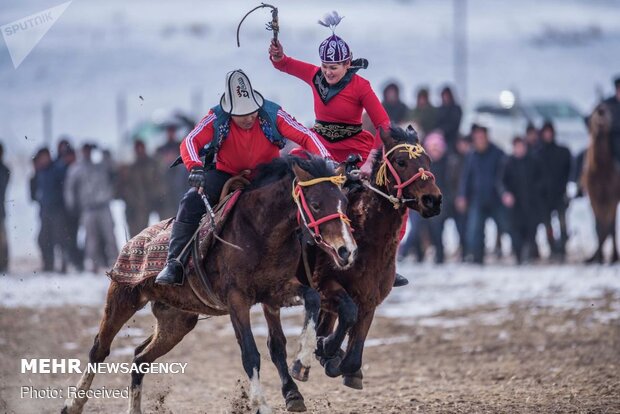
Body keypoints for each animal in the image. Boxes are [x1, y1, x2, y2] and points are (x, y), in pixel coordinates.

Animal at [62, 155, 356, 414]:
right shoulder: (237, 300)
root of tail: (132, 240)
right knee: (99, 349)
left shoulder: (275, 292)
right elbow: (251, 354)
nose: (346, 250)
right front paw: (261, 404)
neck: (258, 231)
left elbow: (310, 303)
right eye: (316, 204)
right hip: (123, 297)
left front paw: (303, 363)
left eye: (343, 201)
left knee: (139, 358)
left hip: (177, 322)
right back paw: (72, 404)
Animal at [290, 125, 440, 388]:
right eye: (401, 161)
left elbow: (352, 357)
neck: (366, 239)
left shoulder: (370, 298)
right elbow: (347, 313)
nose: (433, 199)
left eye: (429, 161)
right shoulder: (324, 284)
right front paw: (326, 347)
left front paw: (334, 357)